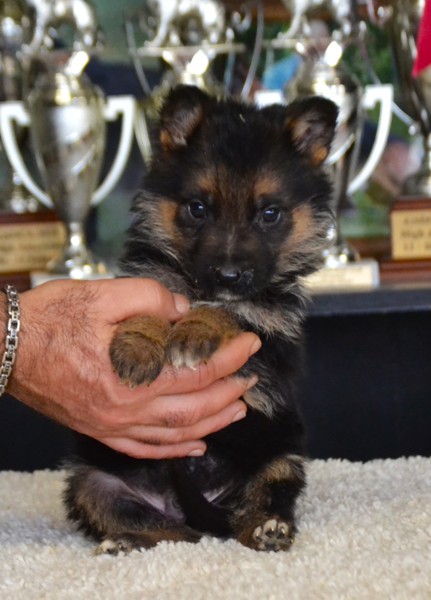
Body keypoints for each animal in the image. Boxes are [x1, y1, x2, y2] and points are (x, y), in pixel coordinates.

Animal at [63, 85, 337, 554]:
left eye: (269, 214)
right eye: (197, 208)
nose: (228, 275)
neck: (199, 289)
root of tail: (189, 505)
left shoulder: (270, 324)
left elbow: (229, 311)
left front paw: (195, 332)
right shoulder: (149, 279)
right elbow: (152, 306)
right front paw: (138, 347)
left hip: (280, 453)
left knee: (257, 504)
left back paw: (268, 529)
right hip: (95, 481)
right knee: (166, 530)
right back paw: (127, 541)